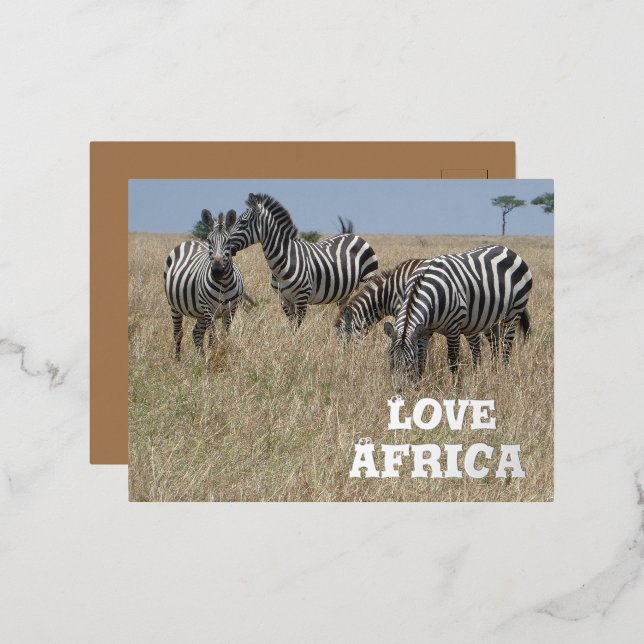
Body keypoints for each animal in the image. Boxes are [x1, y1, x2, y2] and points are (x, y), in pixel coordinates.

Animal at [164, 209, 244, 360]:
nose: (217, 271)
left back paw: (200, 358)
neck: (223, 284)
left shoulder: (231, 310)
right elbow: (213, 337)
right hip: (175, 306)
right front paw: (212, 358)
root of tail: (190, 241)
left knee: (196, 333)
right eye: (209, 241)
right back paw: (178, 360)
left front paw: (220, 354)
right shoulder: (209, 309)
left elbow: (224, 336)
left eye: (229, 241)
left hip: (200, 312)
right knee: (178, 333)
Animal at [229, 193, 379, 327]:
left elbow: (298, 326)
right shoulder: (284, 299)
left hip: (367, 280)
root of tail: (354, 235)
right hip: (345, 293)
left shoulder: (302, 298)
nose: (226, 245)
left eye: (243, 222)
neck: (285, 258)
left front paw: (297, 341)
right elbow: (292, 325)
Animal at [383, 245, 532, 385]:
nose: (400, 389)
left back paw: (503, 375)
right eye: (392, 363)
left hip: (514, 313)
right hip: (491, 319)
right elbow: (421, 359)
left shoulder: (453, 328)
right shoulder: (424, 330)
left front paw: (456, 387)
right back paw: (494, 374)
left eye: (409, 362)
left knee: (507, 347)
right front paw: (418, 386)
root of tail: (509, 250)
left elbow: (453, 361)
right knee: (495, 344)